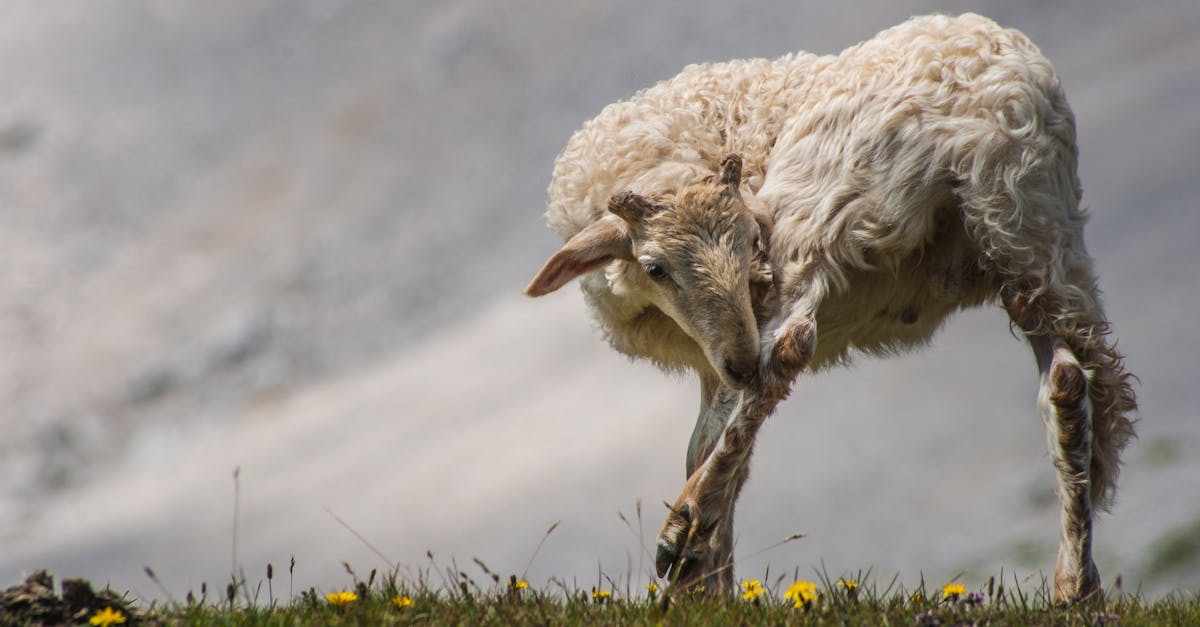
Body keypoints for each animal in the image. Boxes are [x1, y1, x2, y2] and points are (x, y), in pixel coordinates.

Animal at [525, 13, 1132, 600]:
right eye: (656, 269)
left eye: (751, 241)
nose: (740, 361)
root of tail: (978, 103)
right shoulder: (714, 357)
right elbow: (715, 443)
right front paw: (711, 583)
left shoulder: (729, 340)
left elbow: (706, 443)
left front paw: (700, 579)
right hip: (1032, 231)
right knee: (1068, 380)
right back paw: (1076, 585)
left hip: (823, 202)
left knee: (789, 348)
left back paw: (685, 526)